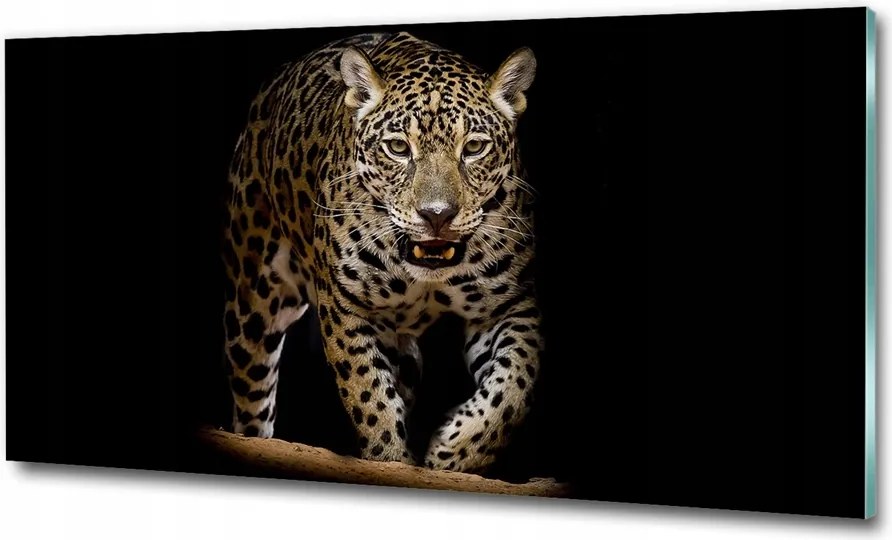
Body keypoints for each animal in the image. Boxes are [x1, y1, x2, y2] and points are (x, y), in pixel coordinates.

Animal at [222, 31, 542, 473]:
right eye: (397, 148)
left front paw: (454, 451)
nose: (437, 215)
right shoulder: (347, 309)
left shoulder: (508, 306)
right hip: (255, 302)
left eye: (475, 147)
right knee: (253, 396)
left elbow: (515, 386)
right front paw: (389, 458)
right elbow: (368, 397)